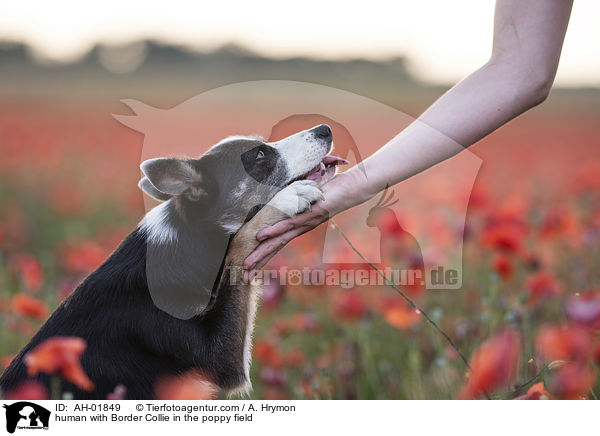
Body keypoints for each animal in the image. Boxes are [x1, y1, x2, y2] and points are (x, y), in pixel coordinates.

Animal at [0, 124, 346, 400]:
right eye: (259, 155)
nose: (325, 129)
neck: (187, 240)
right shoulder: (218, 357)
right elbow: (239, 244)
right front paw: (290, 198)